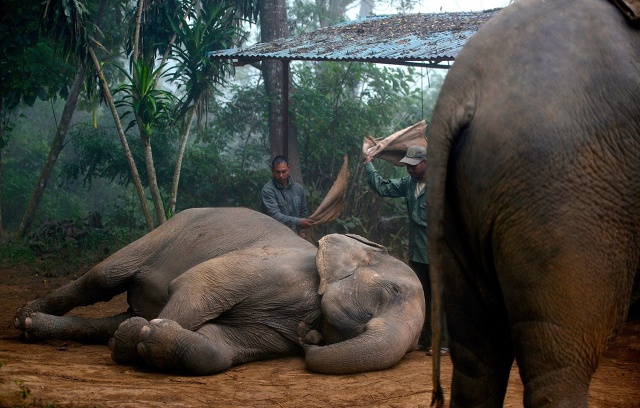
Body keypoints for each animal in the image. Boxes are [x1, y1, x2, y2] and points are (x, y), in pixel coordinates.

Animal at [13, 209, 424, 374]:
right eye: (391, 291)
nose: (309, 341)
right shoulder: (279, 270)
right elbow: (199, 284)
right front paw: (133, 343)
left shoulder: (276, 330)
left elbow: (221, 347)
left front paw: (147, 338)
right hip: (166, 231)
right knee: (103, 277)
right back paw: (22, 319)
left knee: (112, 317)